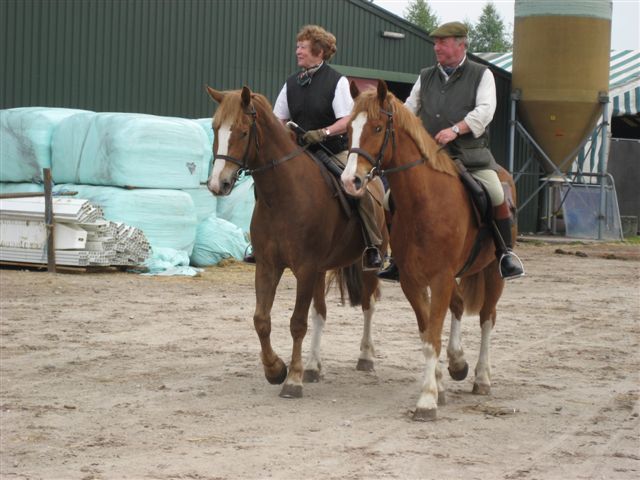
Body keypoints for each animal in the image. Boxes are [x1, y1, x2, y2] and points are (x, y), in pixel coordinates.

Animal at [205, 85, 388, 399]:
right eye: (216, 128)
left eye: (242, 131)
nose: (219, 183)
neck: (283, 195)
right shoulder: (268, 266)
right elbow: (262, 320)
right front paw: (276, 369)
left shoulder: (304, 268)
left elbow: (297, 323)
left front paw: (292, 380)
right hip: (320, 271)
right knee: (321, 313)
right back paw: (313, 367)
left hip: (367, 265)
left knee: (368, 305)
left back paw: (365, 358)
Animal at [341, 80, 517, 421]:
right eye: (349, 130)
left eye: (378, 127)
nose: (349, 181)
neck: (425, 202)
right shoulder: (413, 280)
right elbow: (427, 335)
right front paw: (437, 386)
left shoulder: (440, 278)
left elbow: (434, 332)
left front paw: (426, 400)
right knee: (460, 307)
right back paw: (458, 363)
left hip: (493, 273)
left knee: (487, 318)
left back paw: (481, 378)